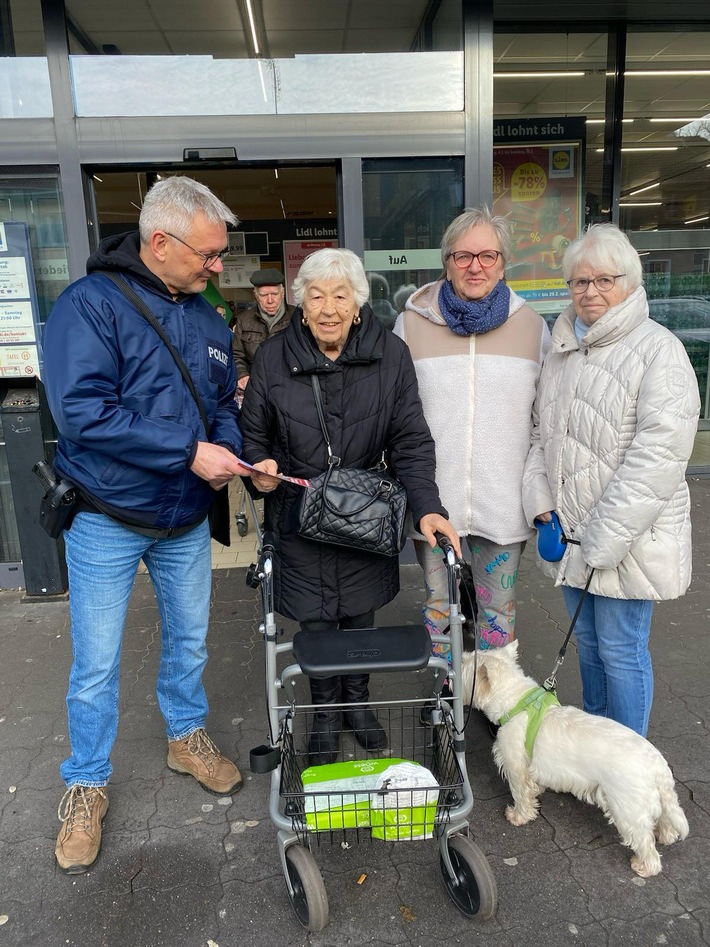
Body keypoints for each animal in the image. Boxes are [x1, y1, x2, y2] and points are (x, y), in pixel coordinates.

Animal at [462, 640, 688, 876]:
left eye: (463, 664)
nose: (451, 671)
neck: (517, 701)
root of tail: (658, 767)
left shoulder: (516, 766)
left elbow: (521, 794)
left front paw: (518, 816)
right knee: (665, 820)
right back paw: (666, 835)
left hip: (628, 808)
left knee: (646, 844)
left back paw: (642, 865)